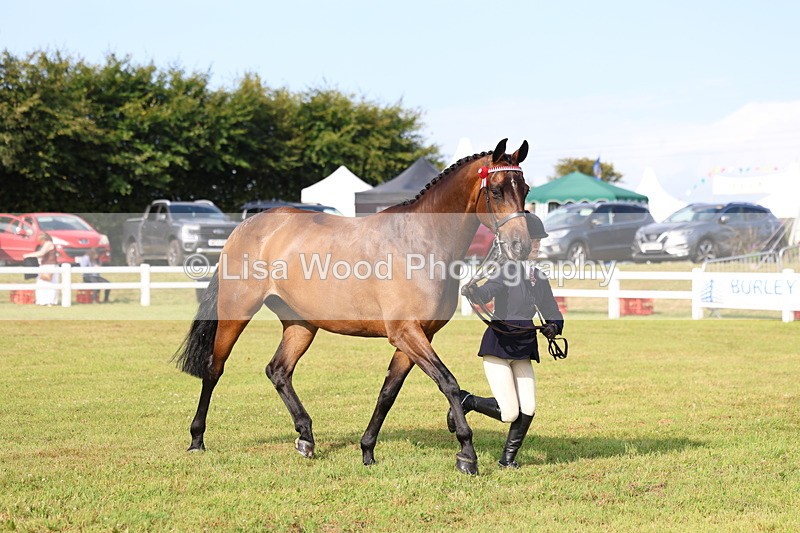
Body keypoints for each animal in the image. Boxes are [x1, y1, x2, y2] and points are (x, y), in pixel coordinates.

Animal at [174, 138, 532, 475]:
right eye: (497, 190)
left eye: (525, 190)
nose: (521, 246)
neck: (420, 242)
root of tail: (244, 228)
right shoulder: (406, 333)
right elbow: (449, 383)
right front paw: (466, 454)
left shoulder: (416, 337)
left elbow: (388, 392)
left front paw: (367, 450)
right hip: (237, 312)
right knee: (214, 368)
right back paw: (197, 439)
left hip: (301, 325)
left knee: (278, 370)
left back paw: (306, 438)